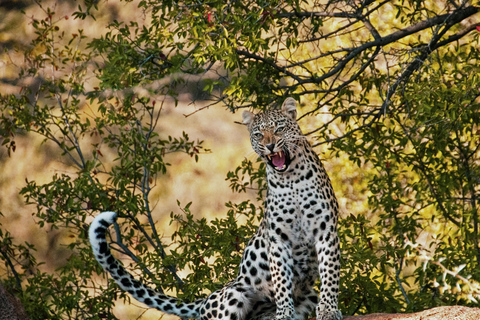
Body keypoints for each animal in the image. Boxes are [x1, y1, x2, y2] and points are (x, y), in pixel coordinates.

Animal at [89, 97, 342, 320]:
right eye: (258, 134)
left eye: (279, 128)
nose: (269, 145)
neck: (291, 179)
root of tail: (205, 300)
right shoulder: (279, 239)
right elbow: (281, 282)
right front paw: (284, 313)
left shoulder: (325, 230)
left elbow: (330, 275)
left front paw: (329, 310)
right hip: (233, 295)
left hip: (307, 294)